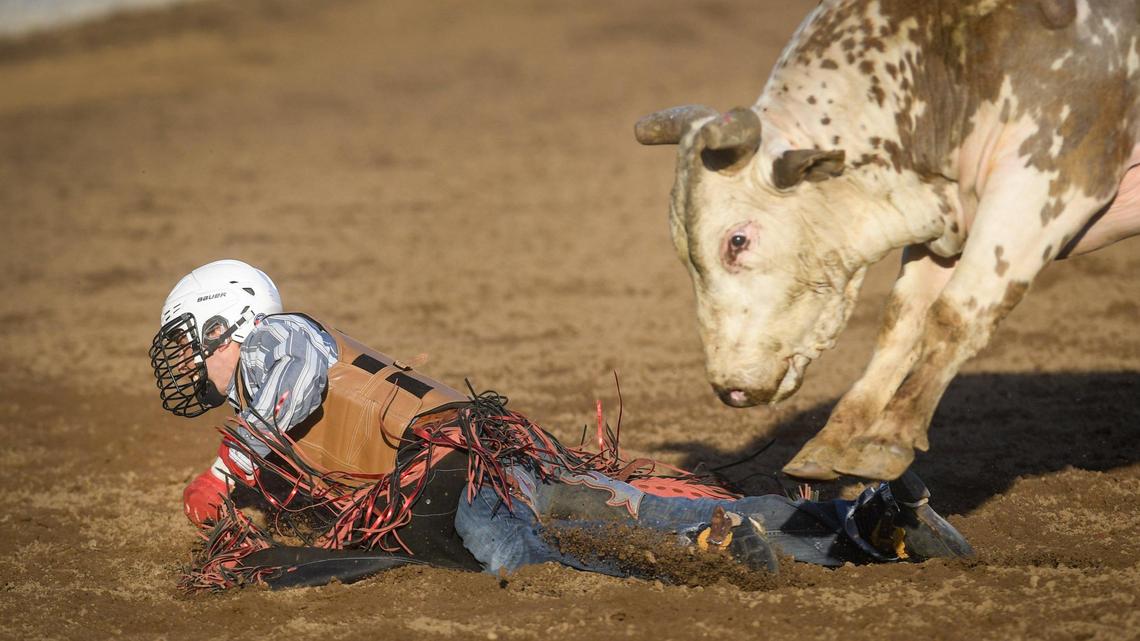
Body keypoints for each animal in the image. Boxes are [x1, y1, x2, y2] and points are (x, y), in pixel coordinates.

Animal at [635, 0, 1140, 481]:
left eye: (737, 241)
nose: (728, 387)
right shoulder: (945, 217)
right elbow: (901, 323)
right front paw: (837, 438)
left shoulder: (1051, 182)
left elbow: (956, 314)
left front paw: (889, 437)